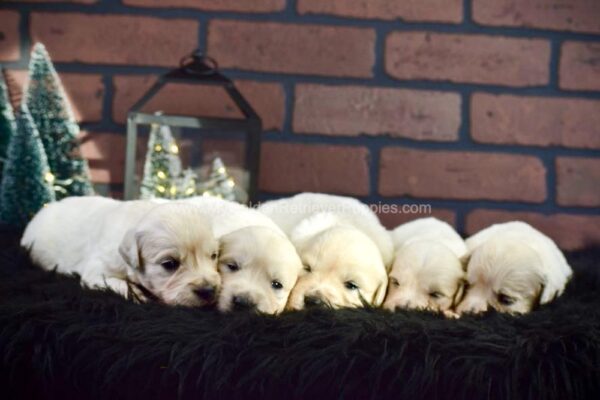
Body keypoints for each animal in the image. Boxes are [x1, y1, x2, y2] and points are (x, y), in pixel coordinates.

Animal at [22, 197, 223, 306]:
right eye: (169, 264)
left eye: (214, 256)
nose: (209, 290)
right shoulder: (96, 271)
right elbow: (116, 283)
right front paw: (137, 294)